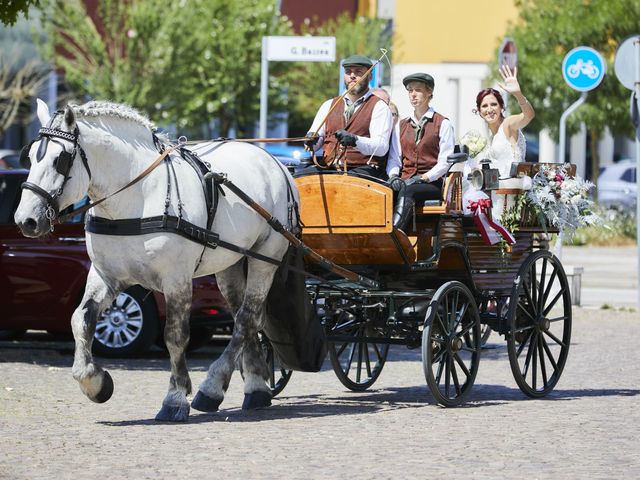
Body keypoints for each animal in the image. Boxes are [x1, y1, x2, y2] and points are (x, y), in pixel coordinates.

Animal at [14, 99, 300, 422]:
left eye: (60, 160)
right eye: (30, 157)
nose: (26, 220)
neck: (136, 199)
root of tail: (275, 163)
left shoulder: (176, 280)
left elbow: (175, 336)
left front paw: (175, 398)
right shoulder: (105, 276)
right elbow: (81, 320)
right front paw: (94, 382)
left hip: (267, 258)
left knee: (246, 318)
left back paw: (212, 387)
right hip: (231, 263)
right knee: (248, 319)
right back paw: (255, 388)